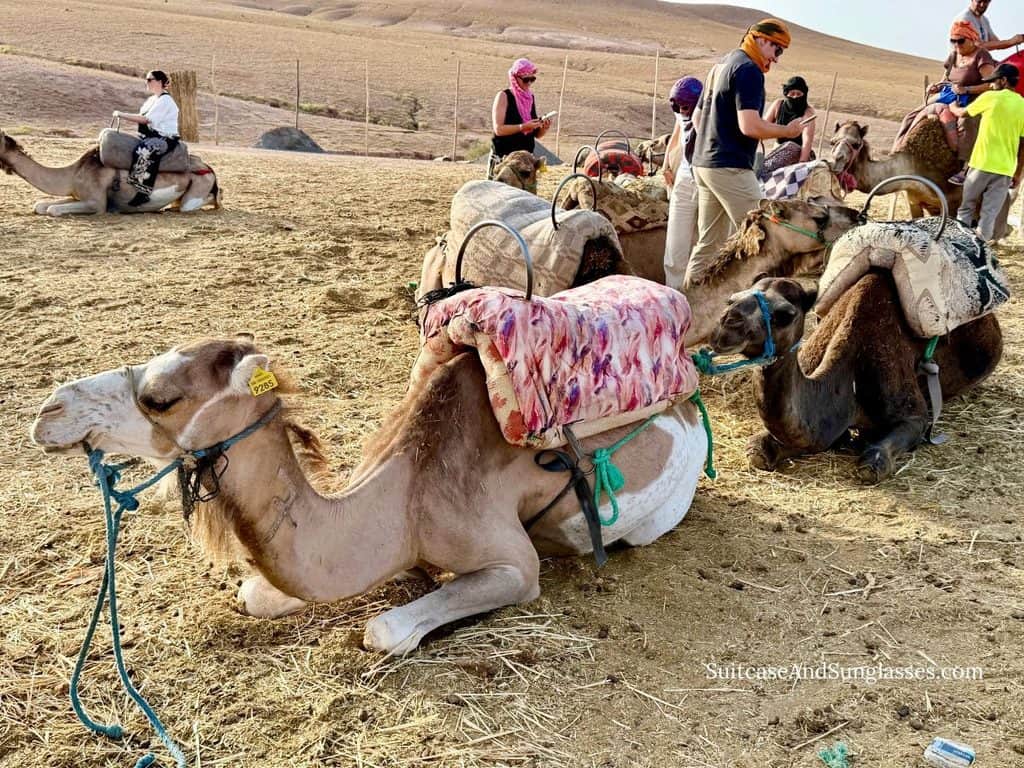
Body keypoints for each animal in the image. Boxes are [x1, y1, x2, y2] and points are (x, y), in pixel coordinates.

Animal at [0, 130, 220, 215]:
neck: (73, 173)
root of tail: (210, 169)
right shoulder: (78, 195)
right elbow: (41, 206)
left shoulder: (97, 203)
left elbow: (52, 209)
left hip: (199, 186)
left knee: (197, 203)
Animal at [32, 337, 709, 655]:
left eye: (160, 397)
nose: (48, 411)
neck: (402, 498)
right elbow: (255, 594)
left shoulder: (516, 565)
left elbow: (383, 630)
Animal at [709, 276, 1002, 483]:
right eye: (731, 299)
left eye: (785, 315)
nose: (726, 325)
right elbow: (758, 451)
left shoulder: (913, 415)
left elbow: (874, 463)